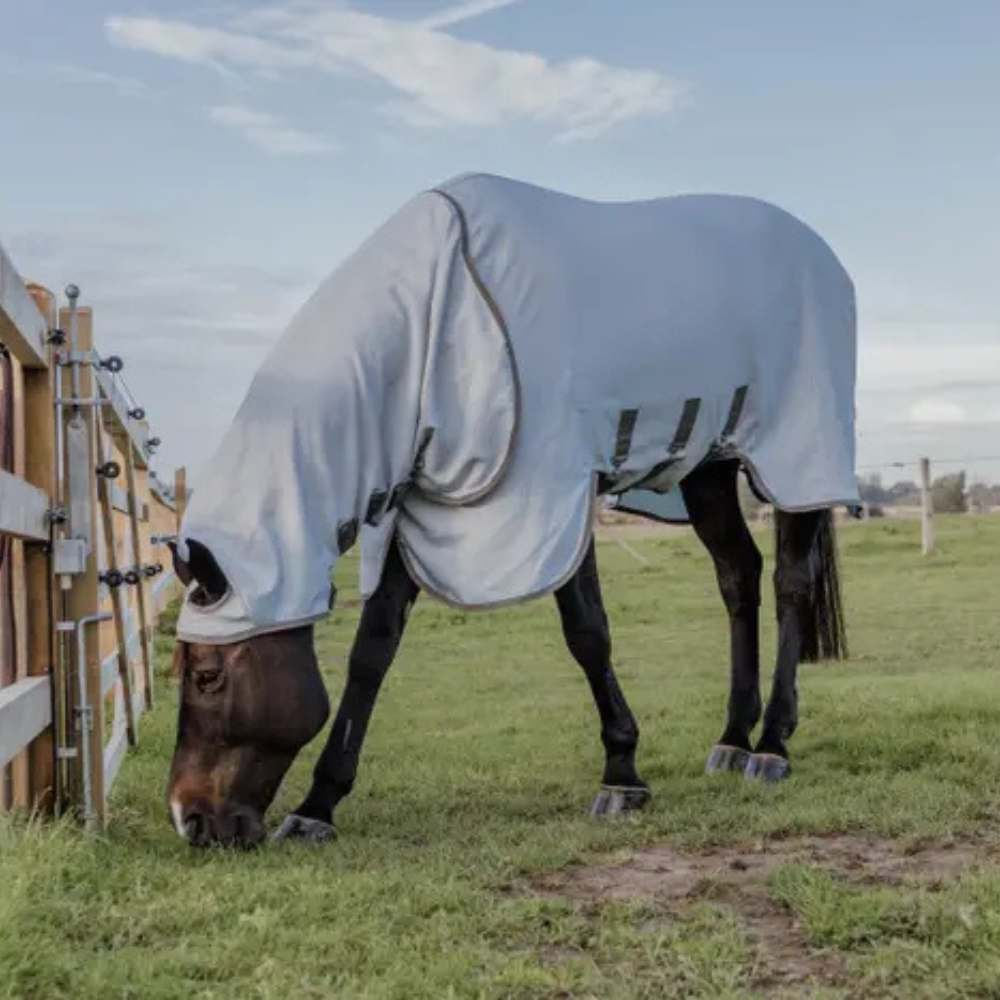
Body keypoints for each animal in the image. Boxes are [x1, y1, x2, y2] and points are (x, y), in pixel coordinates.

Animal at [166, 176, 860, 848]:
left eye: (207, 676)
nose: (190, 819)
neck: (438, 318)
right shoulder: (422, 504)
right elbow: (372, 652)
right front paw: (318, 807)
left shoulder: (553, 495)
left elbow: (587, 633)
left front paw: (622, 776)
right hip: (710, 466)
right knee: (738, 575)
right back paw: (732, 740)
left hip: (796, 456)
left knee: (790, 583)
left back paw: (771, 746)